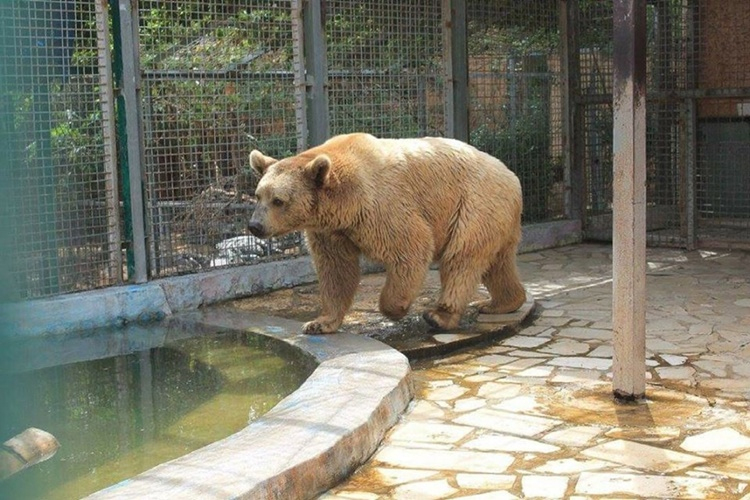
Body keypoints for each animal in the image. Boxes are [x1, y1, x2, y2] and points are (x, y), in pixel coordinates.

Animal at [250, 135, 524, 334]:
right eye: (258, 195)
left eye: (278, 200)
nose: (254, 226)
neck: (345, 202)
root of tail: (512, 176)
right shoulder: (331, 231)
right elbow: (336, 270)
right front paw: (319, 322)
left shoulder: (381, 206)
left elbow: (412, 245)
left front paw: (394, 308)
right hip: (494, 219)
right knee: (496, 264)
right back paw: (500, 302)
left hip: (473, 206)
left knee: (461, 260)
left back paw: (439, 315)